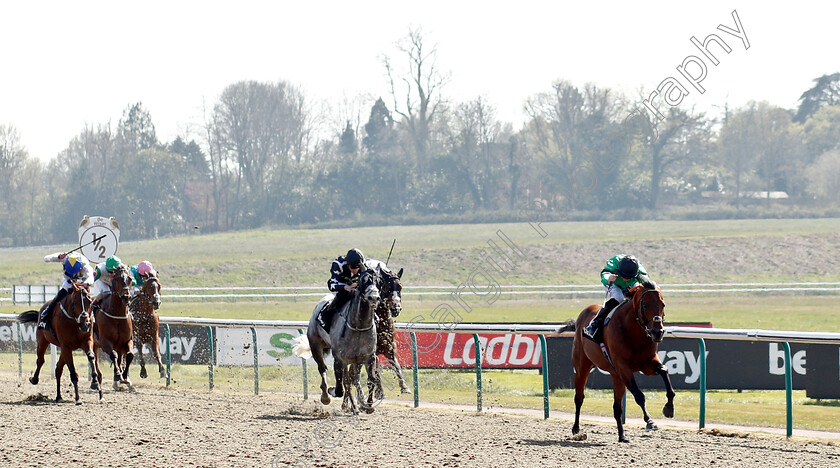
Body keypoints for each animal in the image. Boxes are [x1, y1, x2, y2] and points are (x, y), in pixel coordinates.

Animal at [94, 264, 135, 392]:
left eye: (130, 279)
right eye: (117, 279)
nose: (126, 297)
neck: (117, 314)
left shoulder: (127, 340)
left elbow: (130, 355)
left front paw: (125, 377)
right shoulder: (104, 342)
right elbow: (113, 355)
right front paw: (118, 375)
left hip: (119, 345)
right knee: (95, 359)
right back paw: (95, 382)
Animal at [292, 268, 378, 414]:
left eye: (379, 281)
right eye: (363, 281)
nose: (374, 297)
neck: (358, 327)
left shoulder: (367, 357)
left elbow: (370, 380)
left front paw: (368, 405)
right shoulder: (339, 358)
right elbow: (340, 388)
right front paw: (332, 392)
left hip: (353, 360)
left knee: (351, 379)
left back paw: (355, 406)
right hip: (316, 345)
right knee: (323, 369)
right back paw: (326, 397)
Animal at [572, 282, 676, 442]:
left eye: (662, 304)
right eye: (645, 305)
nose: (658, 332)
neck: (634, 332)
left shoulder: (647, 363)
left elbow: (664, 371)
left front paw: (669, 408)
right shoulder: (624, 369)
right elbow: (639, 396)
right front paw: (650, 421)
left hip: (616, 376)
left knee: (617, 408)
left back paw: (622, 436)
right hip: (582, 367)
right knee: (579, 397)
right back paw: (576, 428)